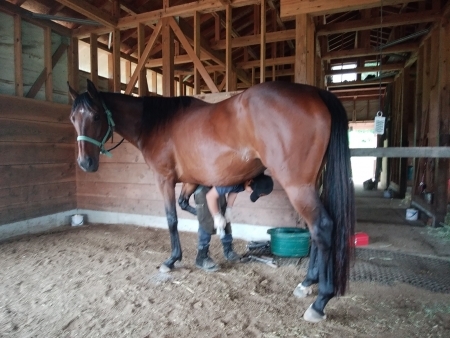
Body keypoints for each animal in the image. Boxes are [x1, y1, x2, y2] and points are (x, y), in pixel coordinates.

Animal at [67, 78, 356, 322]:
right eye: (72, 118)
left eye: (95, 115)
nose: (85, 163)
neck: (156, 122)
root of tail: (313, 92)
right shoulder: (193, 180)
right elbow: (193, 209)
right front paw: (214, 235)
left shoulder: (165, 179)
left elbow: (172, 219)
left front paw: (172, 260)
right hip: (310, 184)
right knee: (316, 231)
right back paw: (307, 283)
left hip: (297, 186)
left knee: (322, 227)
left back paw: (319, 302)